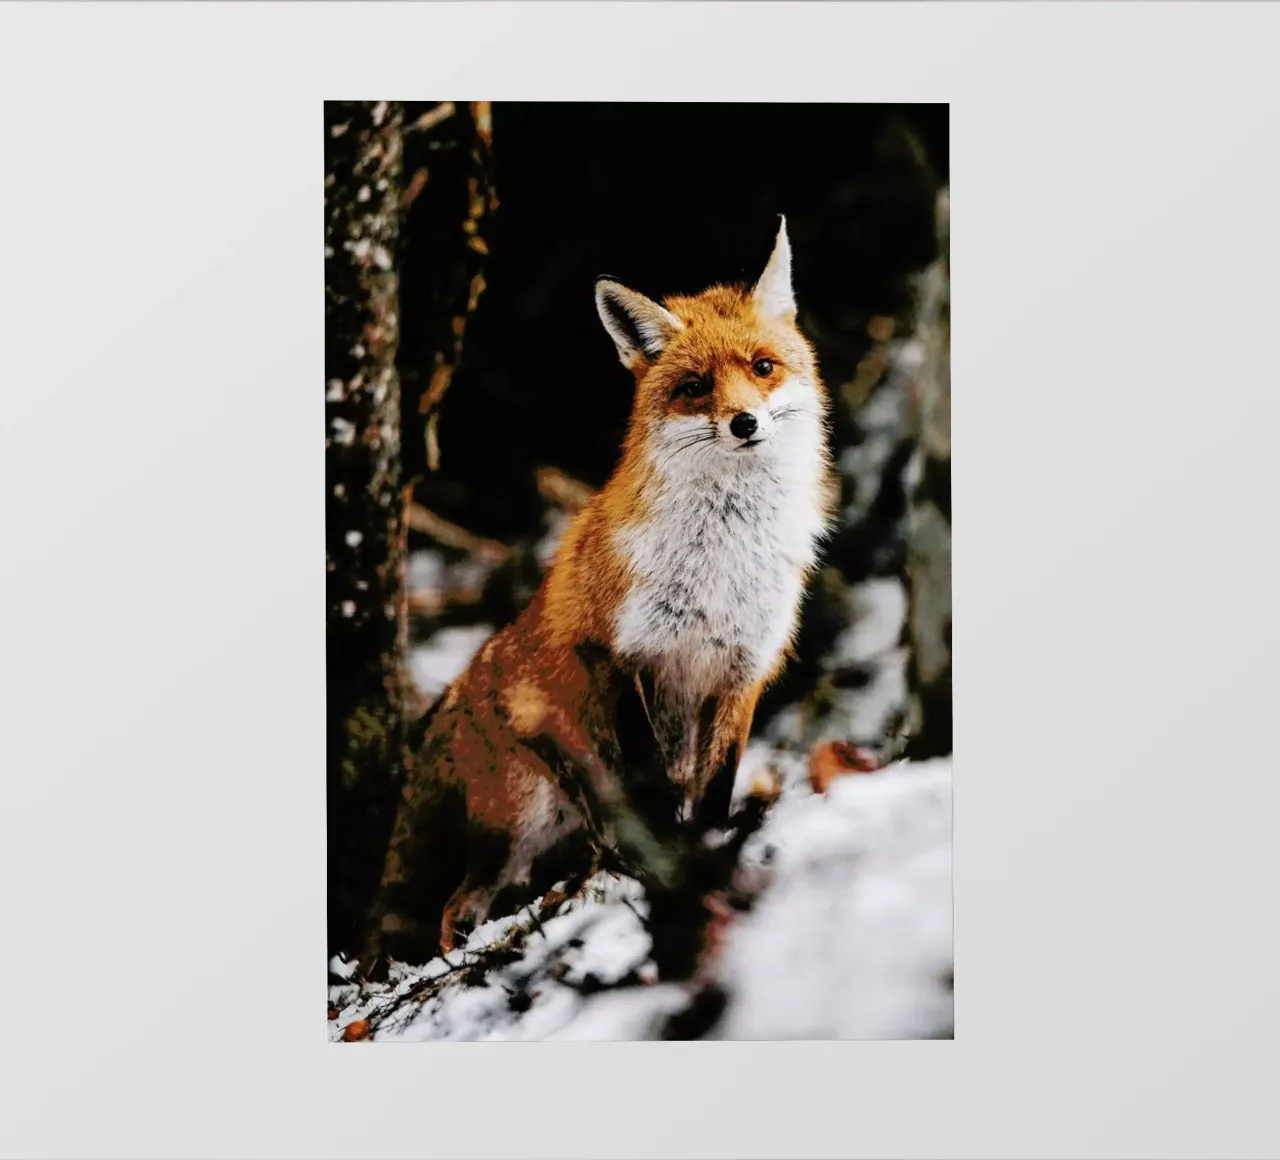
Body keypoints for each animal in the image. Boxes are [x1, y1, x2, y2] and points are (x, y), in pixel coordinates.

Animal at [356, 218, 836, 975]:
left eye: (762, 367)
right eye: (696, 386)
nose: (744, 424)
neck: (721, 563)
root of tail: (457, 692)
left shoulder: (741, 671)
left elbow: (714, 789)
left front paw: (707, 854)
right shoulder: (619, 653)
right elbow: (653, 784)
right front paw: (674, 869)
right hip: (522, 818)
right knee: (452, 909)